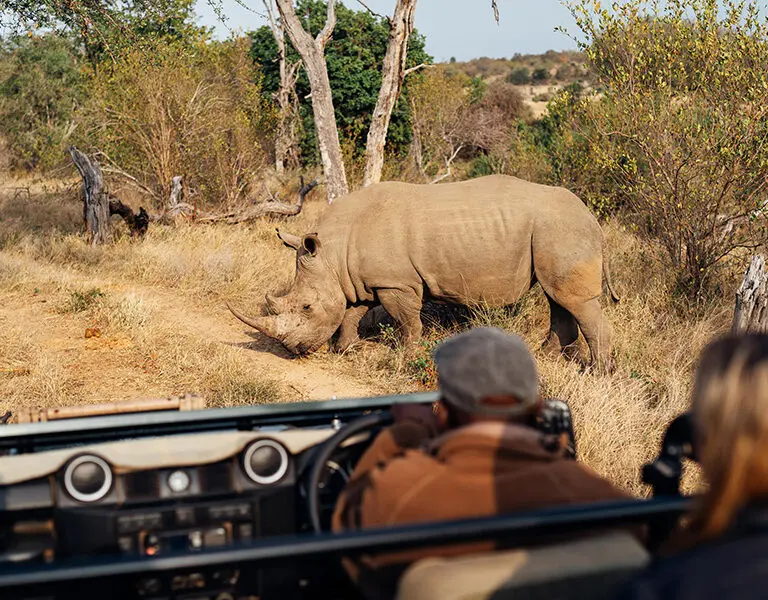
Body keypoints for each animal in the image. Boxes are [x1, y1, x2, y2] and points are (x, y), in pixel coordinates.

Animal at [227, 175, 619, 371]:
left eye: (306, 308)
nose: (293, 351)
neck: (332, 253)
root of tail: (593, 218)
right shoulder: (361, 279)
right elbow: (351, 313)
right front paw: (347, 350)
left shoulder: (396, 282)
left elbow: (406, 320)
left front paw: (404, 356)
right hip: (556, 232)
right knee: (558, 299)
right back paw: (545, 358)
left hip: (563, 230)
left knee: (574, 301)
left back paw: (596, 372)